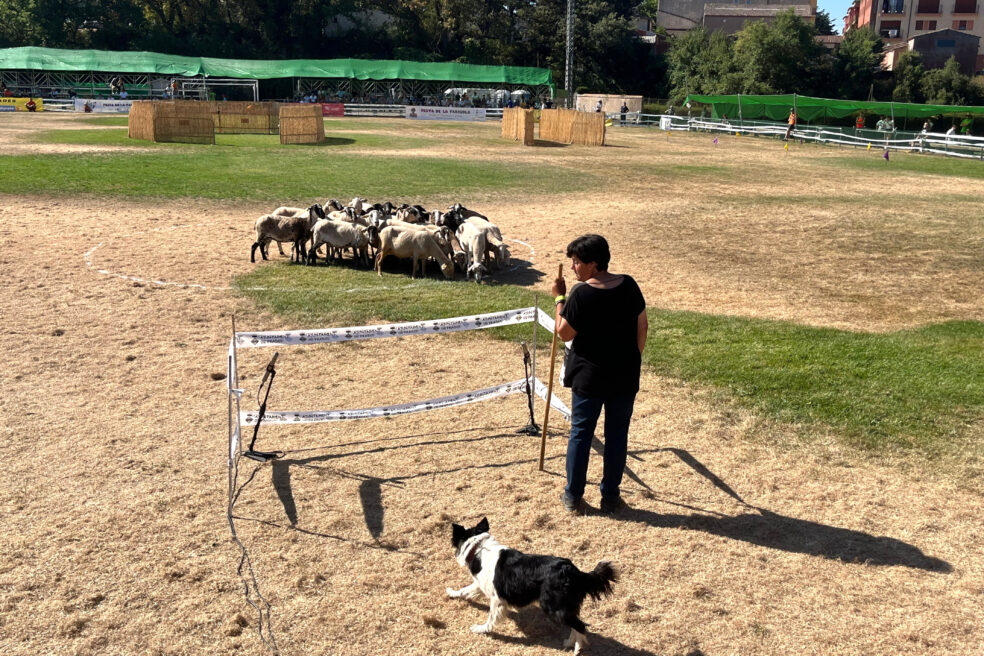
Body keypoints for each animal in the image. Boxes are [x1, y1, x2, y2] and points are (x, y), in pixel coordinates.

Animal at [450, 520, 620, 652]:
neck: (478, 548)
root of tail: (574, 572)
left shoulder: (497, 599)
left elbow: (491, 618)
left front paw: (481, 629)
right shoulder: (480, 585)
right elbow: (464, 591)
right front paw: (451, 592)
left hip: (553, 607)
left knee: (580, 625)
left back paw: (578, 648)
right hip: (565, 606)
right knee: (575, 624)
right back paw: (569, 643)